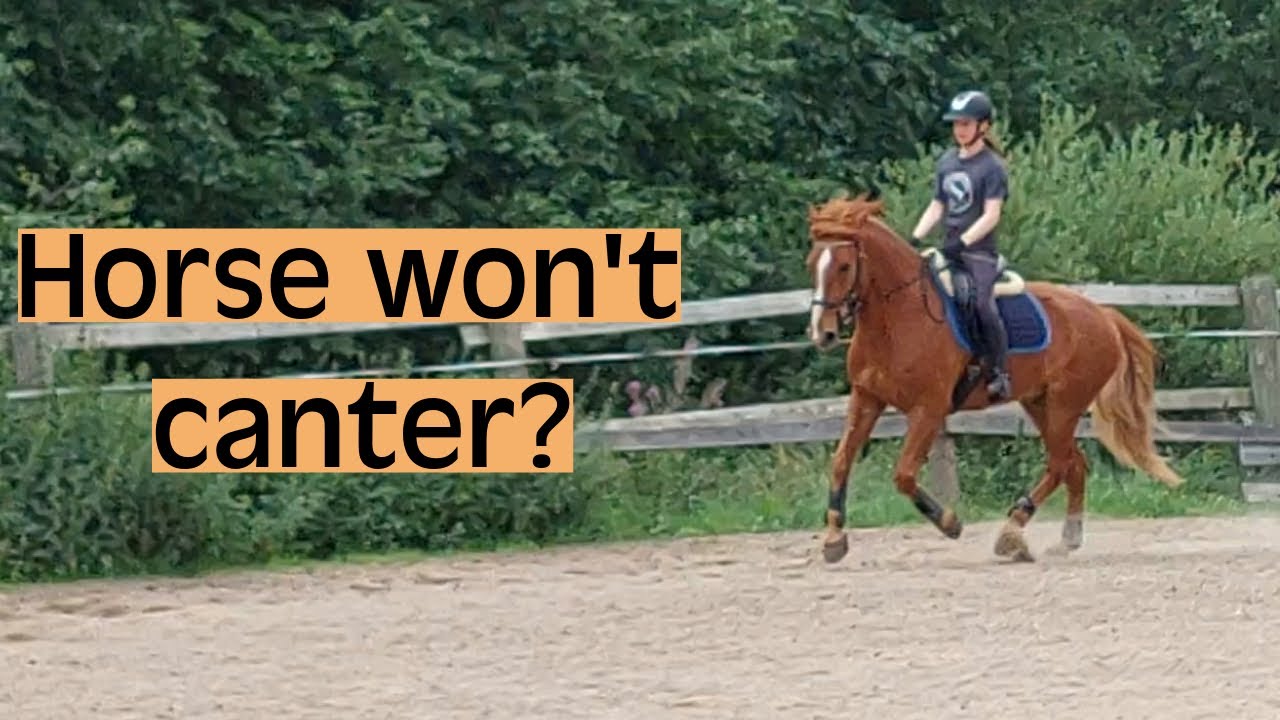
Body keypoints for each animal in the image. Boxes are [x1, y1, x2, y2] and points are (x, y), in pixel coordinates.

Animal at [804, 194, 1184, 563]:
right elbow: (840, 463)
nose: (822, 333)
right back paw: (1067, 538)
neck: (898, 318)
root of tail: (1103, 314)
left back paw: (1011, 533)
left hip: (1065, 404)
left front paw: (950, 523)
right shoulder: (866, 398)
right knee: (1074, 464)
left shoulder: (929, 409)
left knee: (1061, 463)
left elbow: (904, 474)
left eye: (844, 266)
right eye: (812, 263)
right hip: (1039, 403)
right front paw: (834, 539)